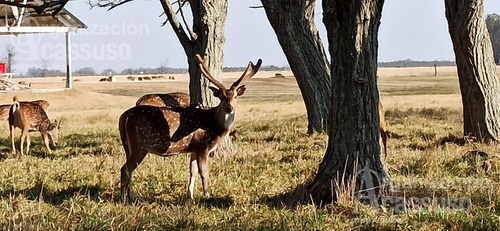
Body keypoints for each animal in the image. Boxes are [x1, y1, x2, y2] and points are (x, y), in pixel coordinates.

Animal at [118, 54, 262, 202]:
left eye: (235, 96)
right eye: (221, 97)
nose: (230, 108)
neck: (215, 126)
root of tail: (124, 116)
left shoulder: (194, 148)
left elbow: (192, 171)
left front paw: (190, 196)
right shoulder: (203, 146)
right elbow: (204, 172)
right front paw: (207, 195)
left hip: (128, 146)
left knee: (128, 169)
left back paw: (132, 197)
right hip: (141, 144)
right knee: (125, 169)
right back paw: (124, 200)